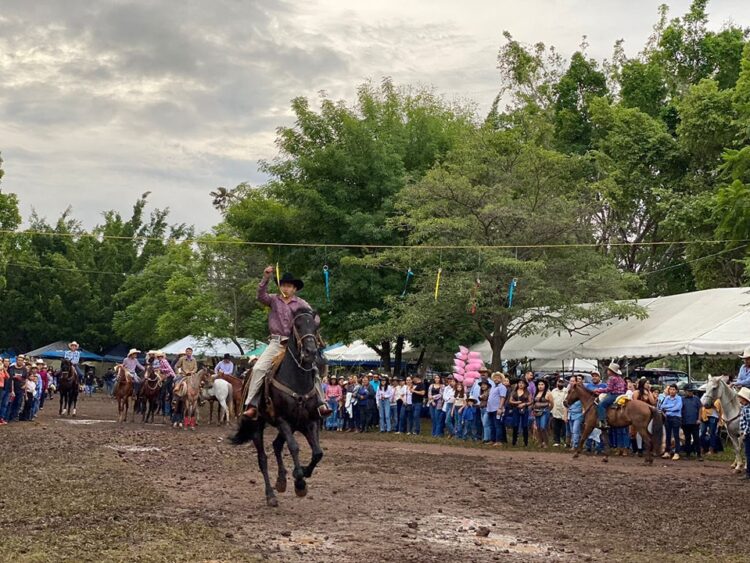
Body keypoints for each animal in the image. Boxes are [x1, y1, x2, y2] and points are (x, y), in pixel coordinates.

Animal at [230, 308, 324, 507]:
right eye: (297, 325)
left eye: (315, 327)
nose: (310, 352)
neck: (297, 381)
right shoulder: (283, 420)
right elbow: (294, 447)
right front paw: (299, 482)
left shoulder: (309, 421)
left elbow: (317, 452)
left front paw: (302, 473)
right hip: (258, 425)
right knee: (263, 459)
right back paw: (271, 495)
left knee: (276, 445)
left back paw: (281, 481)